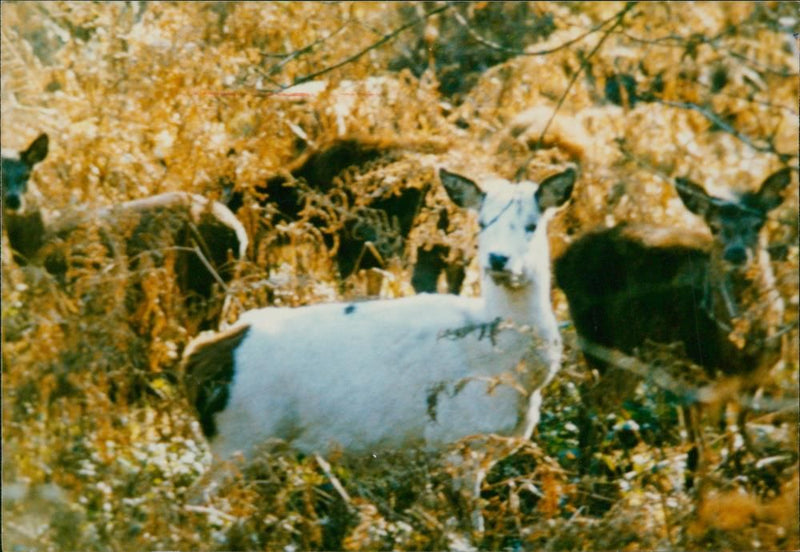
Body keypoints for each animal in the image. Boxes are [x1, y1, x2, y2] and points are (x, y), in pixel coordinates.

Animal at [184, 168, 576, 528]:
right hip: (239, 439)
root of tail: (195, 363)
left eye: (532, 225)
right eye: (482, 222)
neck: (512, 369)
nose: (497, 259)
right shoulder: (456, 442)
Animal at [556, 168, 792, 466]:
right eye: (714, 227)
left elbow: (734, 427)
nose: (736, 254)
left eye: (758, 224)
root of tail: (561, 262)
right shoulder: (689, 370)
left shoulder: (758, 374)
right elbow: (701, 442)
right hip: (607, 340)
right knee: (590, 400)